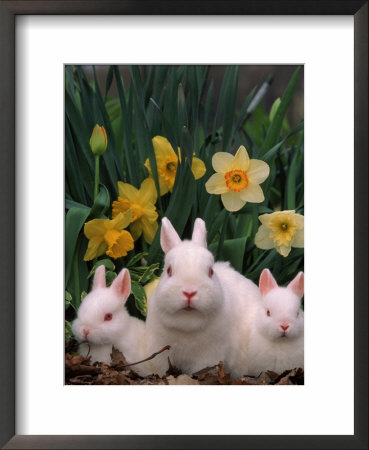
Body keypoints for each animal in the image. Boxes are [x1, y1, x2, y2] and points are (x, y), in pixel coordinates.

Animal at [144, 217, 258, 376]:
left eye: (210, 271)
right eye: (169, 270)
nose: (189, 292)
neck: (187, 325)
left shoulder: (209, 356)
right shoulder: (160, 351)